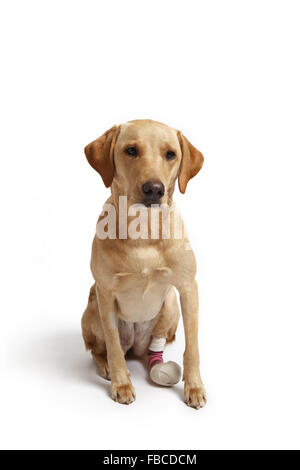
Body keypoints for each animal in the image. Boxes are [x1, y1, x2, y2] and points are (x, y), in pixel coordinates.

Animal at [81, 120, 205, 408]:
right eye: (131, 150)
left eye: (171, 154)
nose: (154, 189)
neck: (143, 230)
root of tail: (136, 348)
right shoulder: (105, 293)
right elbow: (113, 346)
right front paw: (121, 383)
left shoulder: (187, 289)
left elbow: (192, 347)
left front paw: (194, 386)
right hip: (93, 307)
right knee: (99, 348)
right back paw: (106, 365)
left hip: (170, 304)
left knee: (158, 343)